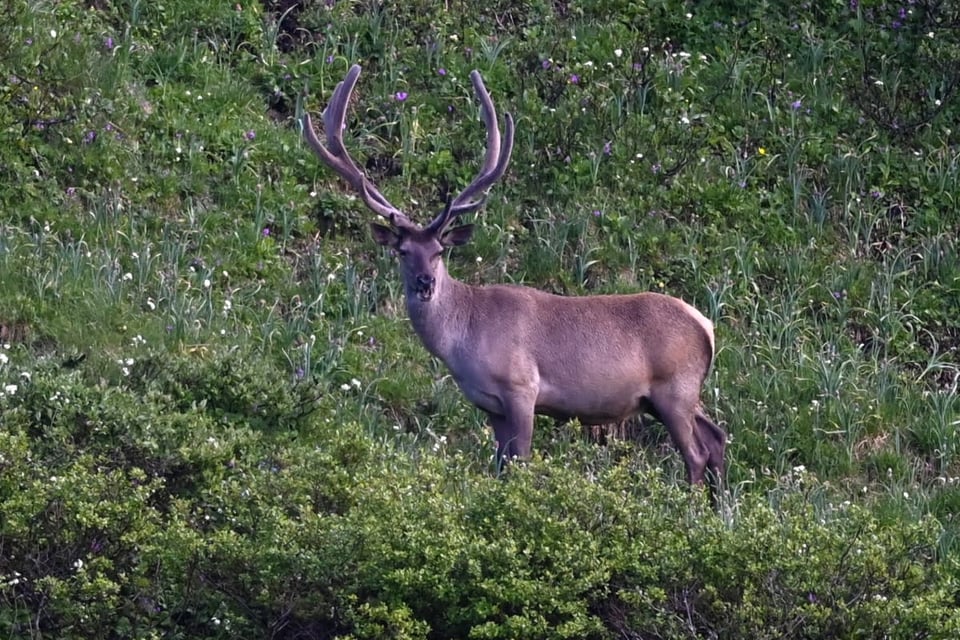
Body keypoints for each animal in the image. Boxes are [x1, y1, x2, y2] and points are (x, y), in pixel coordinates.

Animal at [302, 65, 726, 490]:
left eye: (439, 251)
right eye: (403, 251)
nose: (425, 283)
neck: (464, 339)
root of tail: (706, 326)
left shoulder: (522, 387)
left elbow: (520, 461)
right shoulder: (490, 404)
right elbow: (500, 464)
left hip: (675, 388)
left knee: (696, 453)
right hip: (673, 396)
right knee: (717, 437)